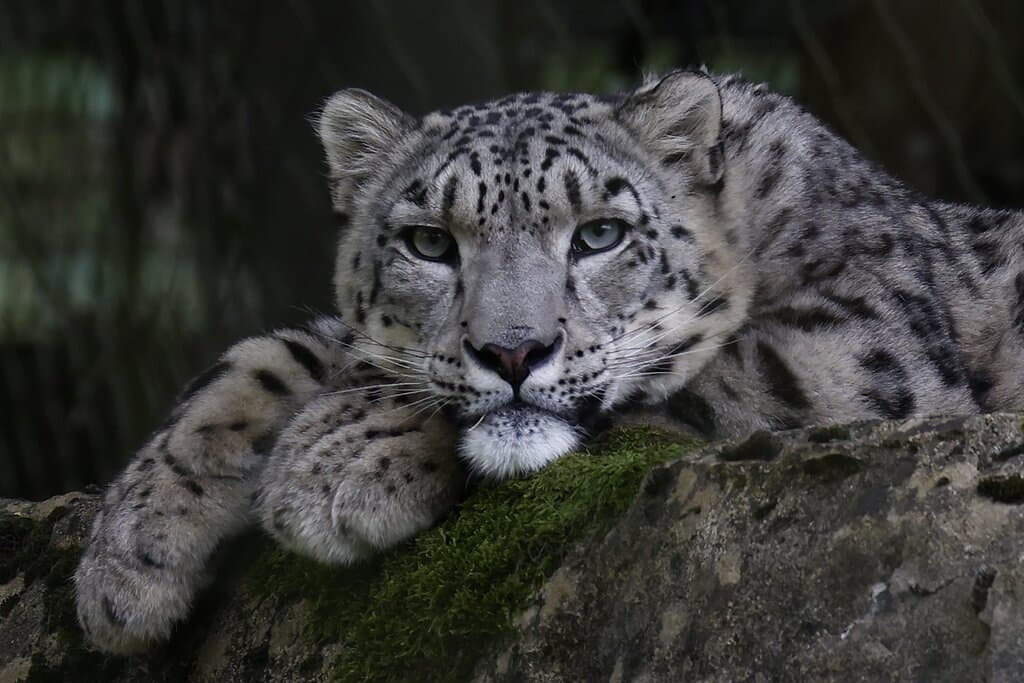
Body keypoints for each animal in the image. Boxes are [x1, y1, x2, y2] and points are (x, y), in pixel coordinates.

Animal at [74, 69, 1024, 653]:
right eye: (430, 242)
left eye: (599, 233)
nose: (512, 349)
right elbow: (274, 355)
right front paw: (129, 555)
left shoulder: (855, 344)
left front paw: (333, 464)